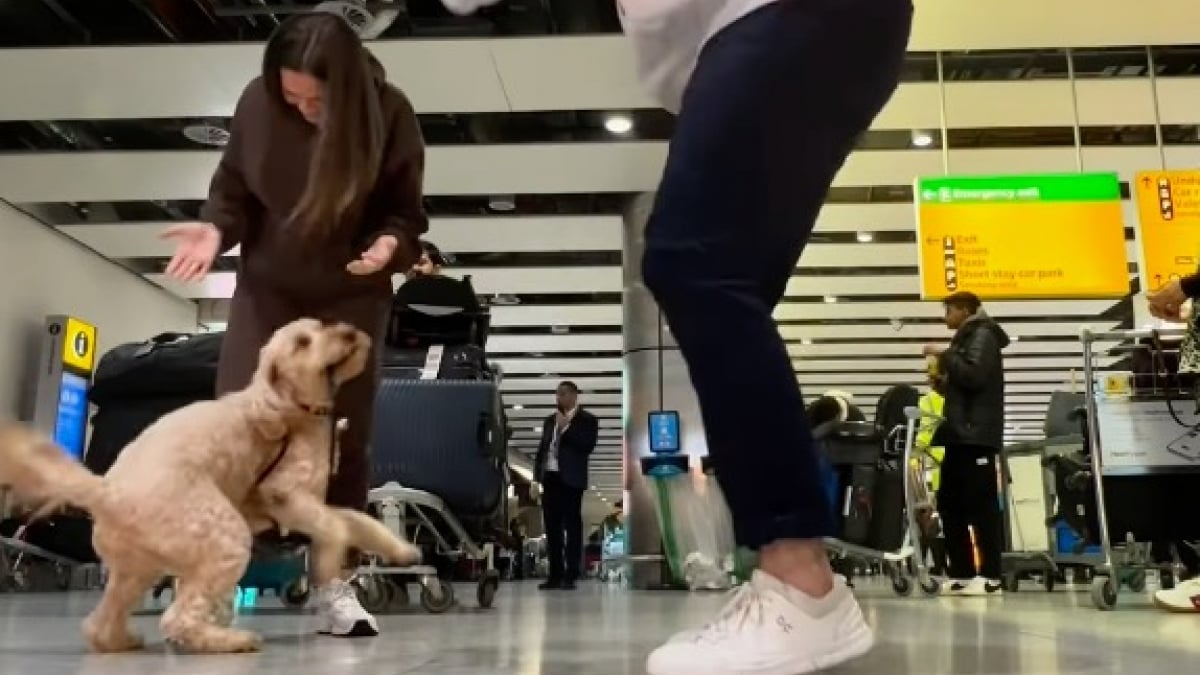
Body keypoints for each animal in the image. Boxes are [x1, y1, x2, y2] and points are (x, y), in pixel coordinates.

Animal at [0, 319, 422, 653]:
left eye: (323, 326)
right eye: (303, 342)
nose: (349, 331)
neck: (288, 407)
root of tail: (106, 491)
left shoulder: (298, 506)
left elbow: (355, 520)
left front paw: (399, 549)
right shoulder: (285, 497)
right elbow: (337, 527)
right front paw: (331, 559)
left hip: (137, 569)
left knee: (102, 622)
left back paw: (121, 641)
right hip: (225, 536)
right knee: (177, 618)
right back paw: (227, 640)